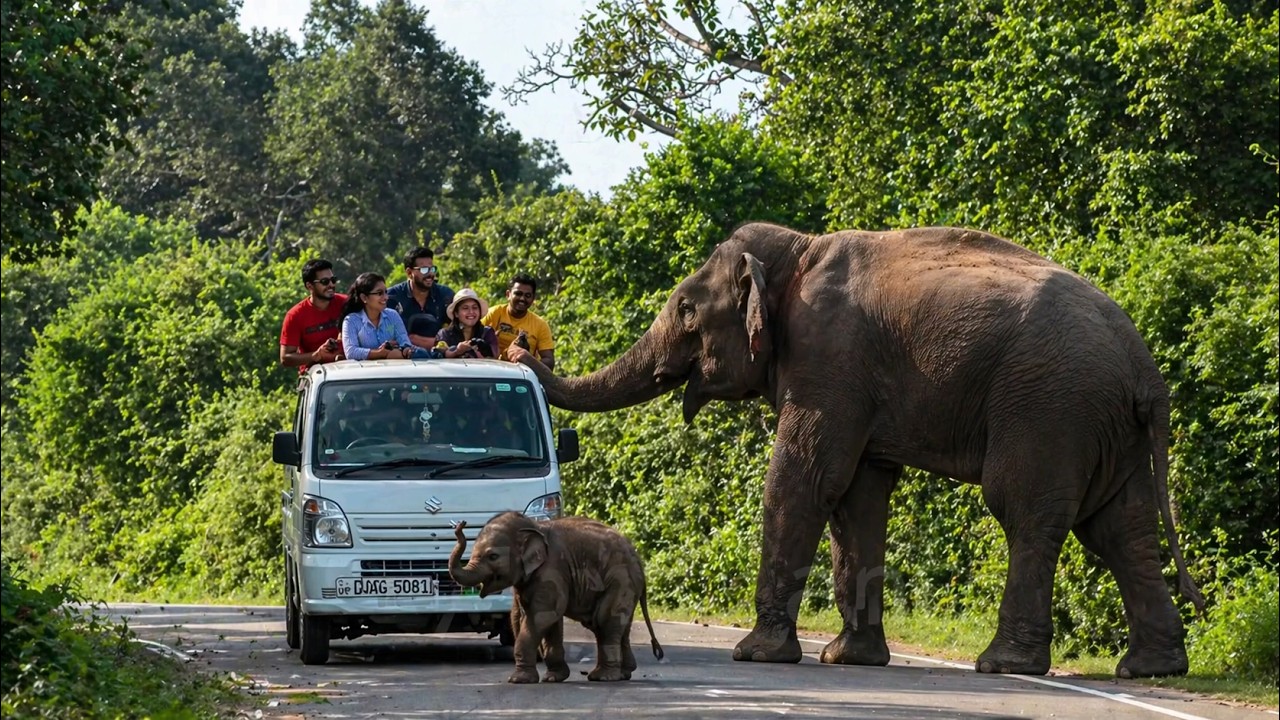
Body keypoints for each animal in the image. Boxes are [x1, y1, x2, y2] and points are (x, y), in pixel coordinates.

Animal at [448, 512, 665, 683]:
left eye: (492, 556)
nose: (460, 524)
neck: (532, 527)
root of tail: (638, 560)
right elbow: (527, 618)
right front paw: (553, 678)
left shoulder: (551, 571)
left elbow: (543, 615)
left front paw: (518, 680)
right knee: (618, 625)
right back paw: (624, 673)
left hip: (620, 579)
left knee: (605, 621)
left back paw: (603, 677)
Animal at [515, 222, 1204, 679]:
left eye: (686, 310)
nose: (519, 345)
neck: (796, 251)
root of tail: (1146, 369)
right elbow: (858, 497)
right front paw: (849, 658)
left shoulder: (829, 360)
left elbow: (805, 480)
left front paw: (759, 655)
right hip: (1104, 424)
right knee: (1119, 528)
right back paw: (1152, 669)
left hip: (1050, 408)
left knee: (1027, 512)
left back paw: (1005, 665)